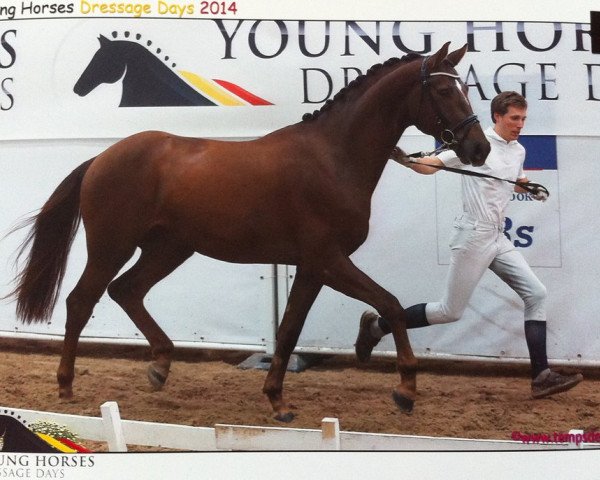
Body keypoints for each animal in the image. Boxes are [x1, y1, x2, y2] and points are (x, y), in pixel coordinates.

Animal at [8, 43, 488, 422]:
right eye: (445, 90)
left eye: (465, 88)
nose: (479, 148)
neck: (332, 158)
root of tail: (102, 158)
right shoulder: (328, 259)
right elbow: (388, 304)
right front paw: (405, 390)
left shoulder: (313, 267)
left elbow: (290, 329)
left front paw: (277, 400)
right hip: (112, 246)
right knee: (81, 301)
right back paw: (67, 386)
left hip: (168, 249)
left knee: (127, 290)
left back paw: (160, 366)